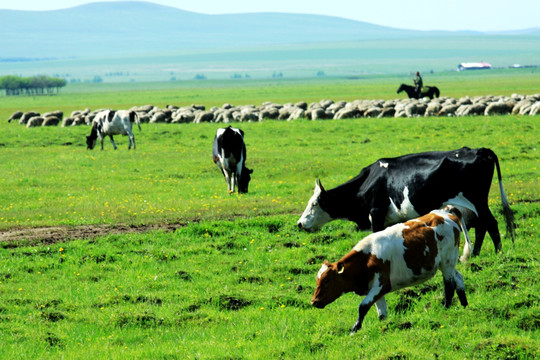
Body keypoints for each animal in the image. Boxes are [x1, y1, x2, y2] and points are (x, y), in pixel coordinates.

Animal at [298, 147, 516, 256]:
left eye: (314, 204)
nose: (299, 223)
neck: (370, 180)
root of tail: (481, 150)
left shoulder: (376, 212)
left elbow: (376, 236)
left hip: (477, 200)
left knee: (491, 223)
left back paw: (498, 252)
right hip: (473, 205)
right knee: (482, 225)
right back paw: (477, 253)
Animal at [312, 204, 472, 334]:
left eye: (326, 280)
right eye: (317, 280)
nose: (314, 301)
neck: (367, 258)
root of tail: (443, 212)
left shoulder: (381, 284)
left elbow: (363, 306)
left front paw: (354, 329)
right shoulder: (376, 290)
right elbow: (382, 314)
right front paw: (385, 327)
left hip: (447, 263)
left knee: (449, 285)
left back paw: (446, 308)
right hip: (446, 264)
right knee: (459, 278)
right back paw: (464, 305)